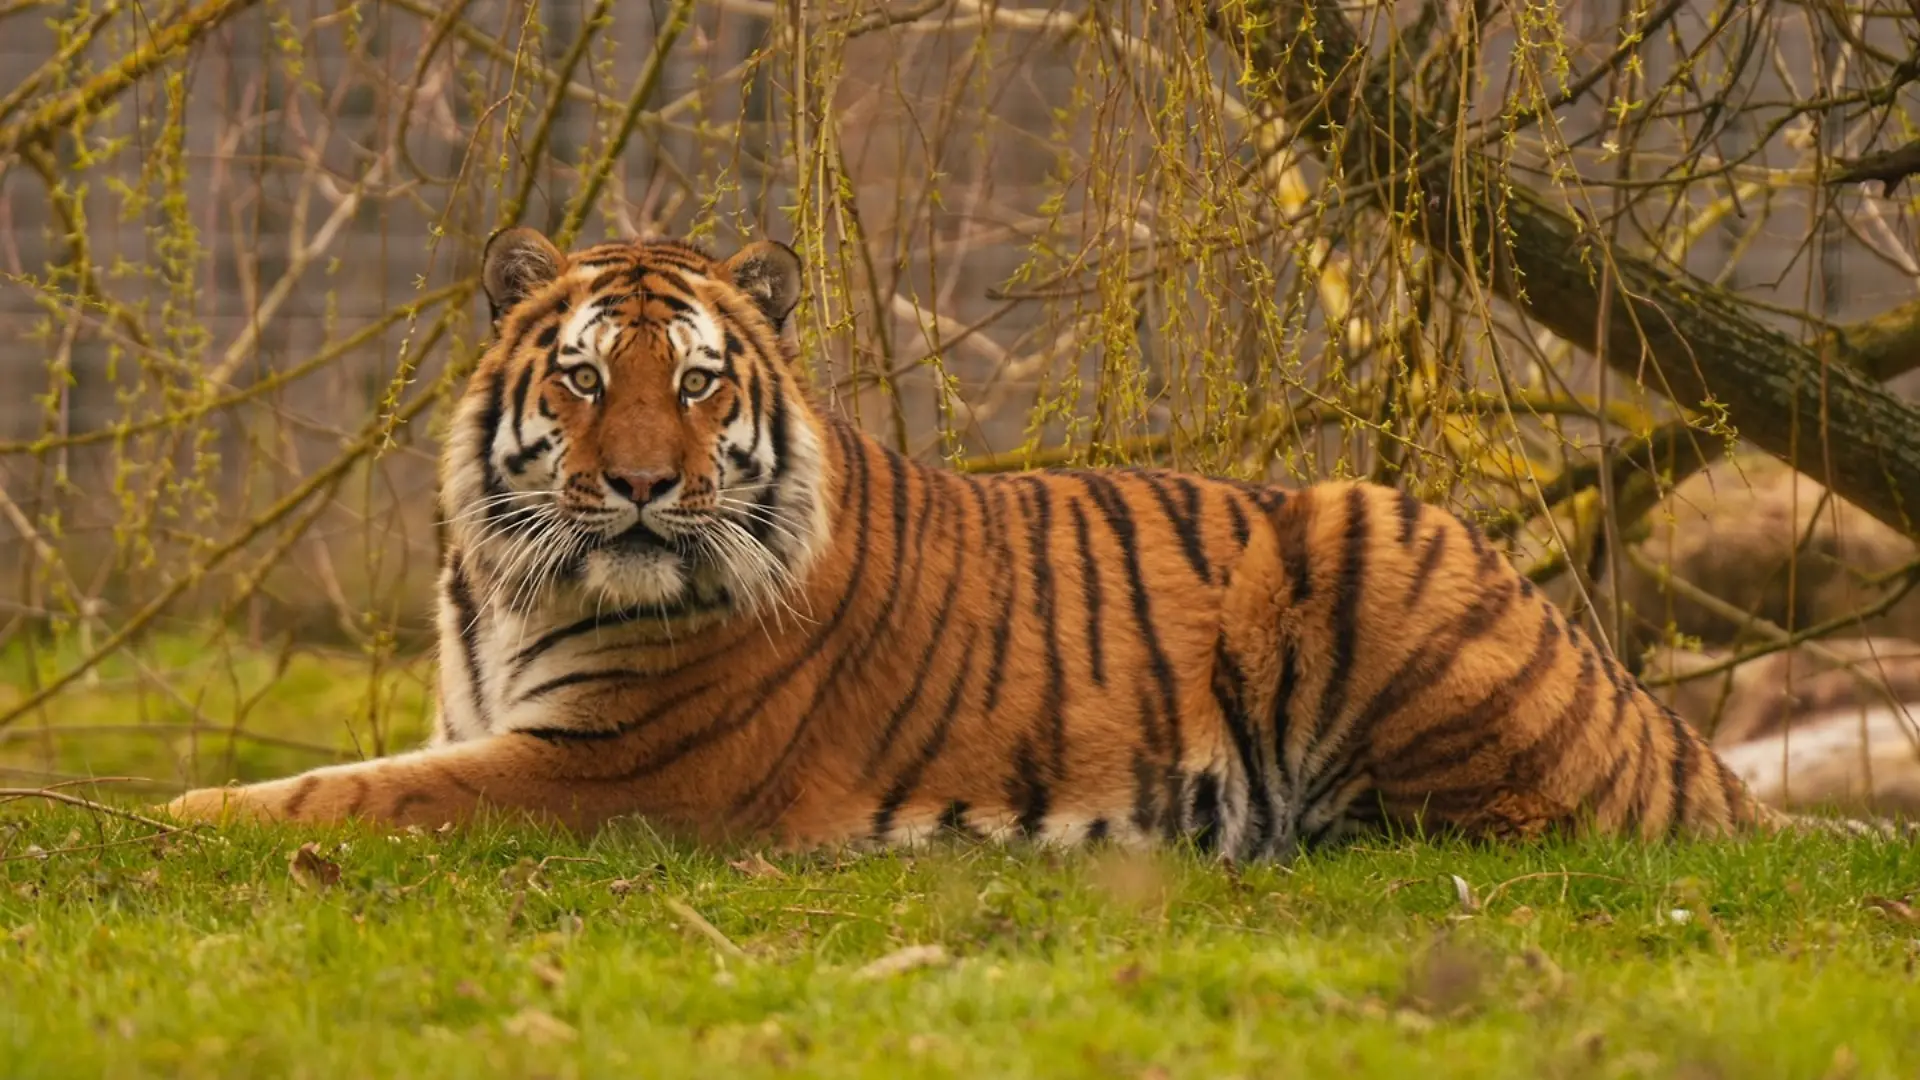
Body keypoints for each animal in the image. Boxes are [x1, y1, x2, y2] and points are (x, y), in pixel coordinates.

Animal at [160, 226, 1886, 858]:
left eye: (697, 382)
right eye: (585, 379)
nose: (646, 486)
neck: (514, 587)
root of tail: (1648, 712)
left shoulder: (613, 770)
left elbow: (346, 791)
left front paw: (169, 809)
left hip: (1366, 536)